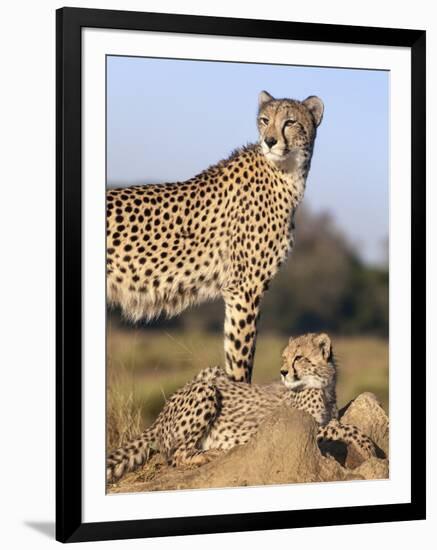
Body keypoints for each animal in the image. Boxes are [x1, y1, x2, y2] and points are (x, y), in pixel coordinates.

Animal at [106, 332, 374, 484]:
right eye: (284, 358)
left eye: (298, 358)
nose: (283, 372)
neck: (322, 386)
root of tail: (162, 411)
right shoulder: (299, 424)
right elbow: (343, 428)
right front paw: (368, 446)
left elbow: (339, 423)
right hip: (206, 389)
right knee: (174, 455)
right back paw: (209, 455)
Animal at [107, 90, 322, 384]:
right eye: (265, 120)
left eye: (290, 122)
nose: (269, 141)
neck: (285, 173)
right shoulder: (245, 287)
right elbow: (240, 356)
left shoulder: (240, 288)